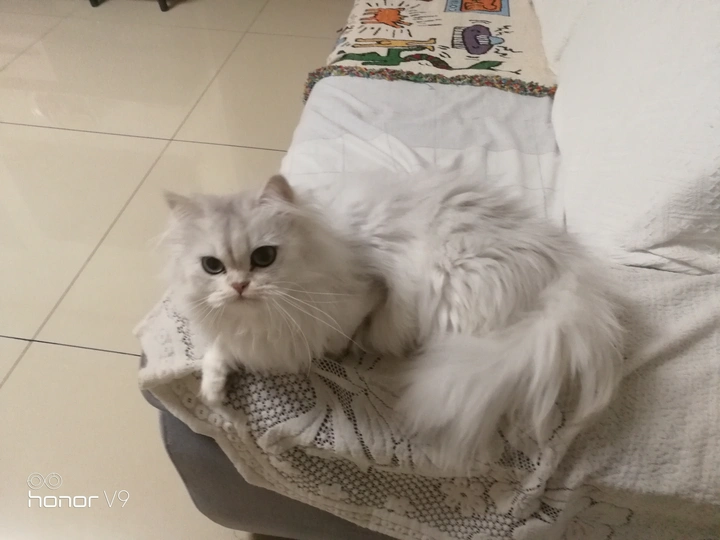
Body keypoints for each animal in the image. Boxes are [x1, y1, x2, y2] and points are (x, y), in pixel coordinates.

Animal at [162, 173, 623, 468]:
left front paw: (343, 351)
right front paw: (213, 392)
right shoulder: (236, 330)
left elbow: (348, 332)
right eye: (212, 266)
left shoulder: (368, 295)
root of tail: (566, 268)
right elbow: (218, 351)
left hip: (453, 299)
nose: (239, 286)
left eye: (264, 257)